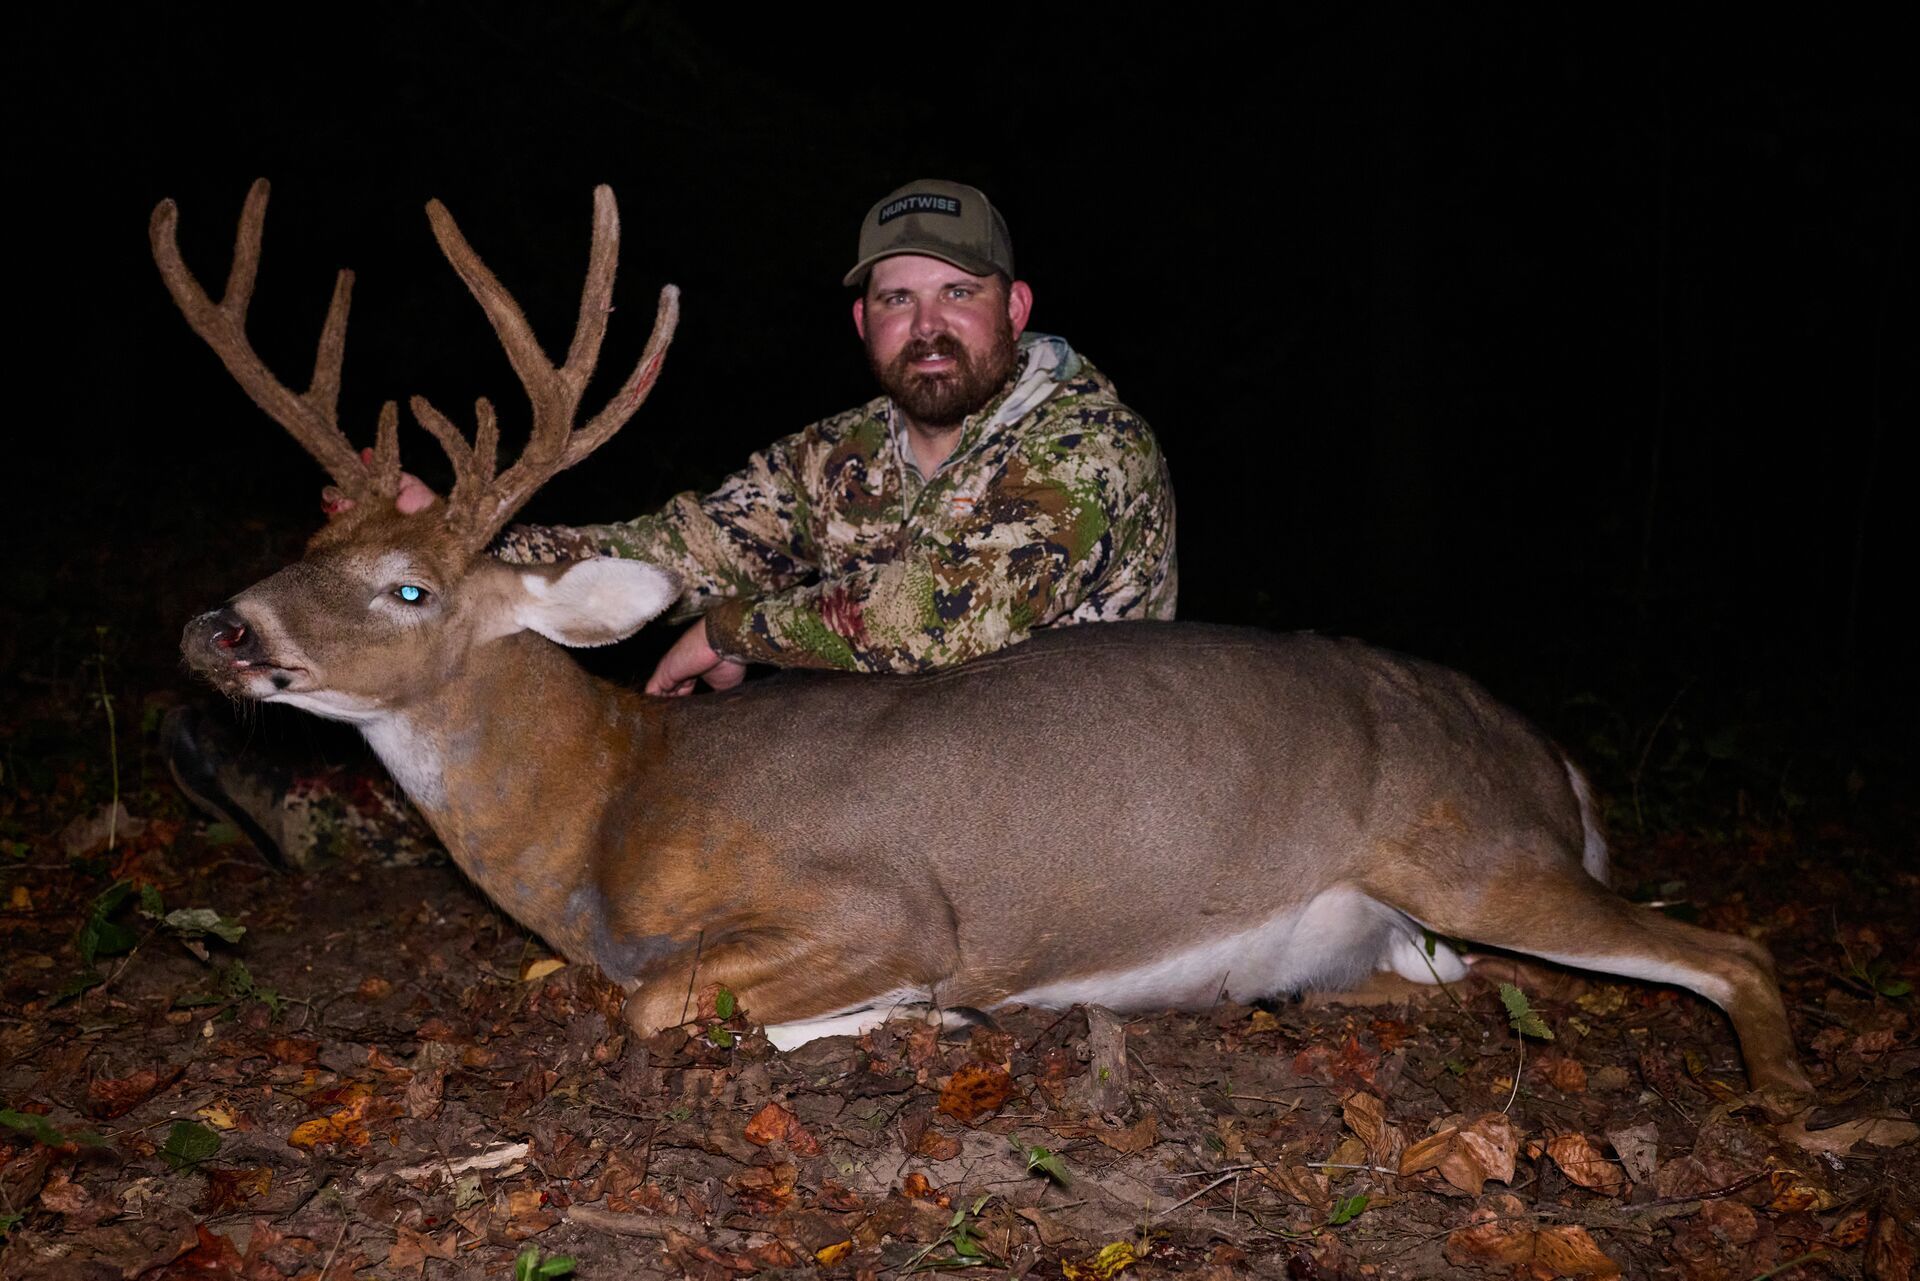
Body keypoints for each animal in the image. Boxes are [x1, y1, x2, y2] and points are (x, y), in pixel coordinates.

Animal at [158, 180, 1813, 1118]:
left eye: (407, 590)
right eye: (301, 550)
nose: (215, 628)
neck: (604, 817)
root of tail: (1552, 760)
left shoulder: (882, 900)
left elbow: (667, 1001)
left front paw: (910, 1015)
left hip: (1478, 847)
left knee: (1731, 949)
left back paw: (1783, 1106)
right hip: (1425, 913)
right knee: (1446, 978)